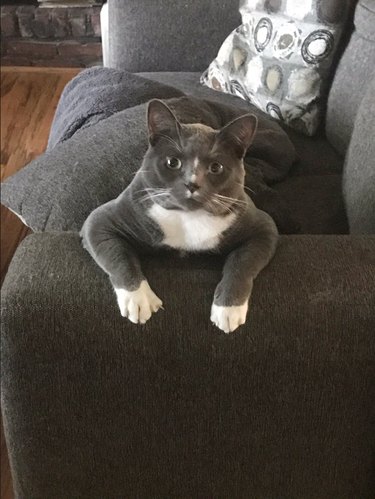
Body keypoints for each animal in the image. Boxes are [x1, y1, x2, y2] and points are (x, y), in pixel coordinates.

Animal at [81, 98, 278, 334]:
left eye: (216, 167)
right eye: (172, 162)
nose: (192, 184)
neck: (189, 217)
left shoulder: (263, 227)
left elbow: (243, 262)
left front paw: (228, 310)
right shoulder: (101, 220)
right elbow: (118, 255)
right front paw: (139, 300)